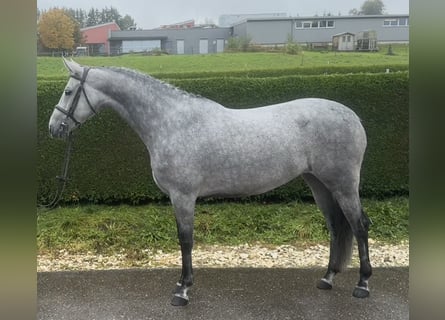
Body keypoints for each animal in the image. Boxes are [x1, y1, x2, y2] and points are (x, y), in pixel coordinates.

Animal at [47, 58, 372, 306]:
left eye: (68, 91)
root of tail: (354, 117)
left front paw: (182, 290)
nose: (53, 128)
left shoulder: (183, 196)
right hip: (319, 185)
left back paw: (363, 285)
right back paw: (327, 278)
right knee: (336, 228)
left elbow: (185, 240)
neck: (170, 123)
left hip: (343, 186)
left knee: (358, 226)